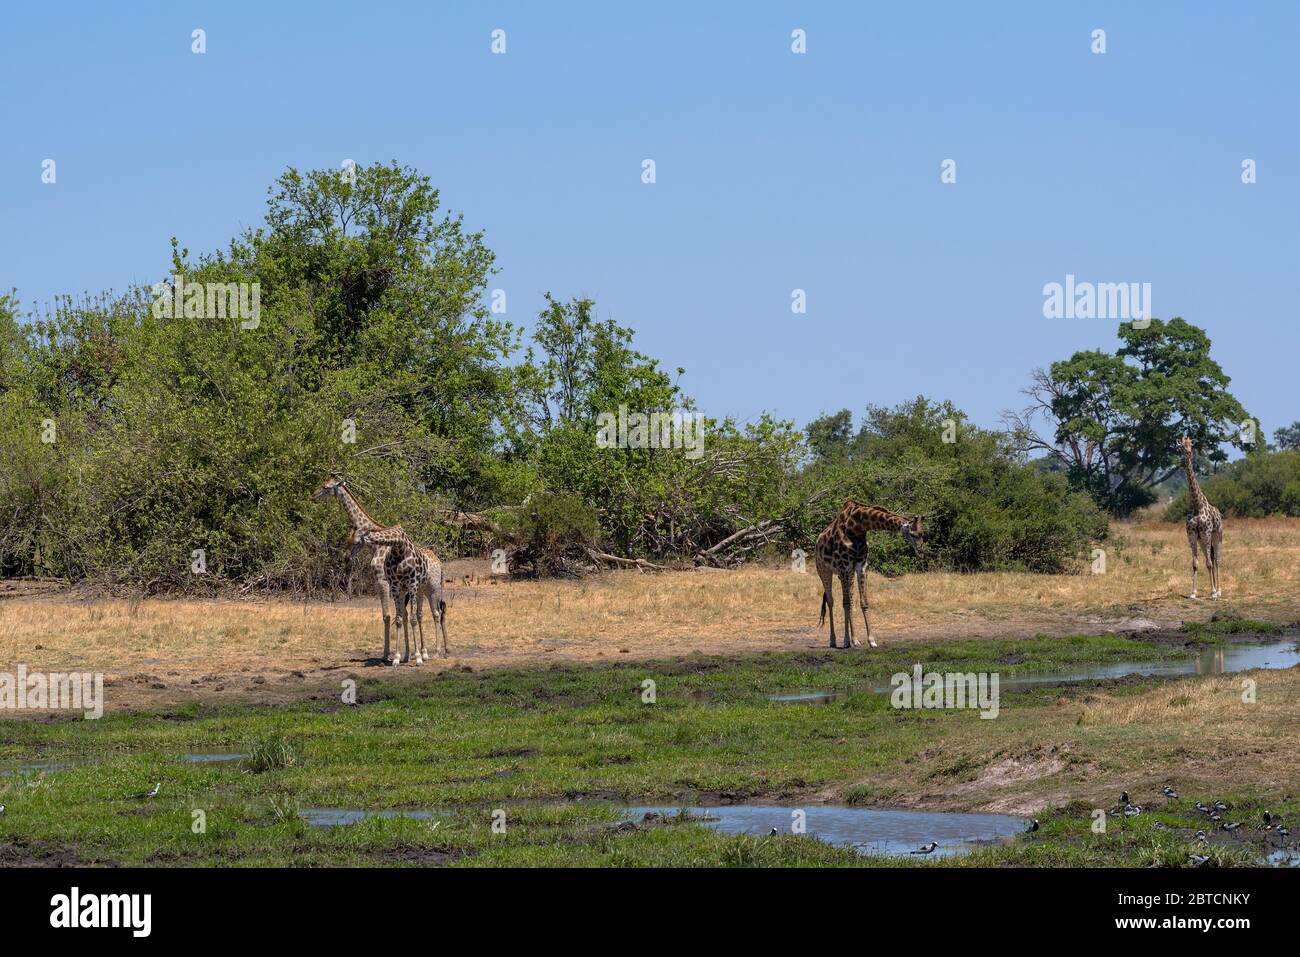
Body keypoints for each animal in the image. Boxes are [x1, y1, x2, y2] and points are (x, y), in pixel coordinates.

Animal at [811, 501, 925, 650]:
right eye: (912, 534)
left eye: (923, 534)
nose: (921, 553)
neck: (857, 528)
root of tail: (818, 541)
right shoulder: (844, 567)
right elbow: (845, 603)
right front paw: (846, 641)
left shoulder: (861, 567)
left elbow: (863, 602)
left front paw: (871, 640)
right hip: (824, 570)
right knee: (831, 601)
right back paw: (833, 640)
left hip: (847, 574)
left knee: (850, 599)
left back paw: (854, 640)